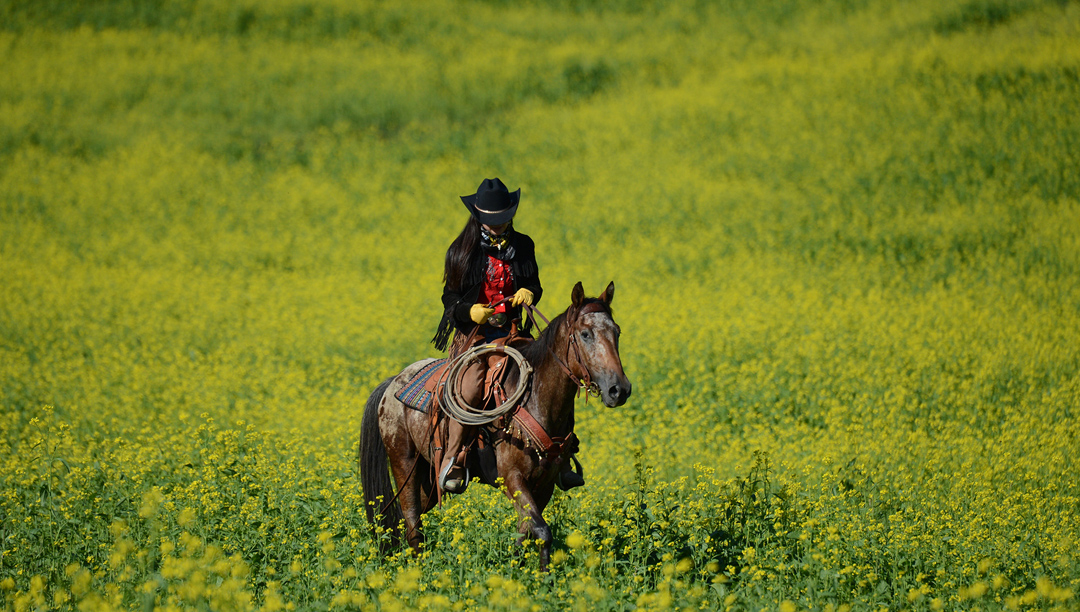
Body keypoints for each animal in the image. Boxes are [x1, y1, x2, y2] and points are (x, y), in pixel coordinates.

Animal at [360, 282, 630, 569]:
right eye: (585, 334)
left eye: (617, 331)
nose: (619, 390)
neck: (535, 399)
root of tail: (392, 384)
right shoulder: (512, 477)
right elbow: (542, 531)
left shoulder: (544, 483)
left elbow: (526, 533)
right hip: (404, 462)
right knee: (412, 522)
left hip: (427, 477)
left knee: (406, 520)